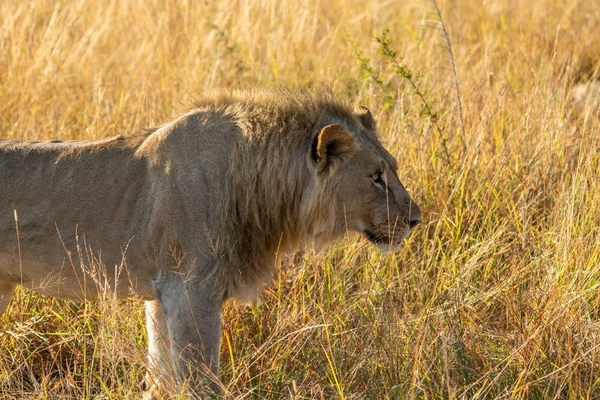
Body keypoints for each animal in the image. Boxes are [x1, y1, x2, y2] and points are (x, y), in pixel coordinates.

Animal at [0, 87, 422, 396]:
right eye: (376, 177)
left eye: (394, 169)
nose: (416, 219)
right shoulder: (189, 288)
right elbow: (201, 382)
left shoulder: (161, 294)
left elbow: (162, 374)